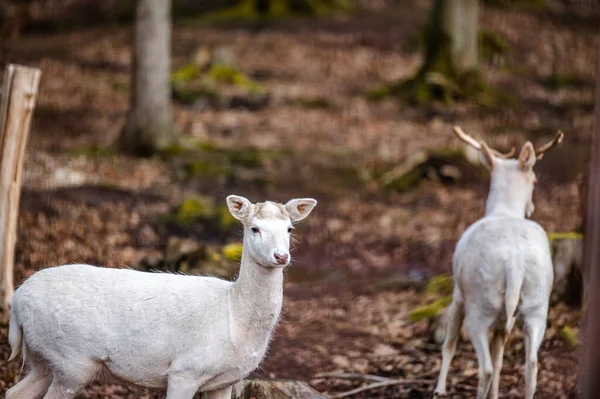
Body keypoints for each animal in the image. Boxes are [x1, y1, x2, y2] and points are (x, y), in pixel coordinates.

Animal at [7, 195, 316, 398]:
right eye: (255, 228)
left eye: (289, 228)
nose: (281, 256)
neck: (234, 316)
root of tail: (17, 302)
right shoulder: (185, 370)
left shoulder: (225, 381)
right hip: (71, 359)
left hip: (42, 357)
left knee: (15, 392)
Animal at [434, 127, 564, 399]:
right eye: (535, 181)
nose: (531, 207)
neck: (504, 210)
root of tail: (515, 264)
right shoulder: (509, 319)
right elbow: (500, 356)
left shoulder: (457, 292)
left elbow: (449, 343)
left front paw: (439, 390)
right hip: (537, 305)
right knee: (531, 363)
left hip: (480, 306)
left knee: (484, 368)